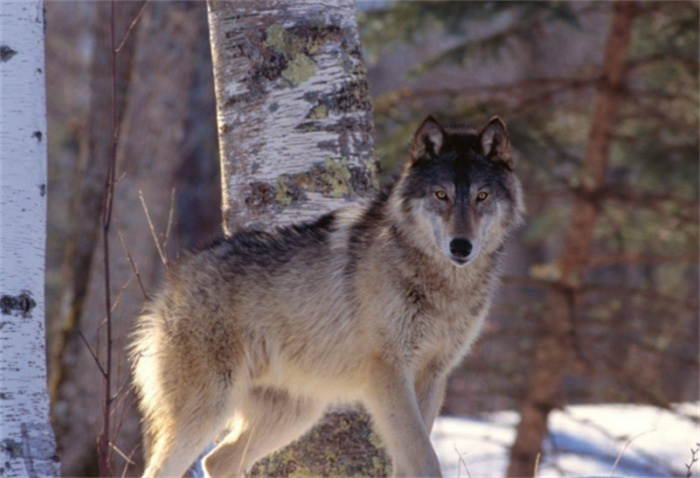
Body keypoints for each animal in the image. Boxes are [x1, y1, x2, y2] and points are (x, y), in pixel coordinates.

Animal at [131, 116, 524, 478]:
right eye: (441, 195)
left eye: (482, 196)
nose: (461, 246)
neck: (443, 286)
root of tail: (172, 280)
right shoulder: (388, 373)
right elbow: (424, 457)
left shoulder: (432, 376)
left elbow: (410, 457)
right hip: (207, 411)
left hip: (295, 415)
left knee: (217, 461)